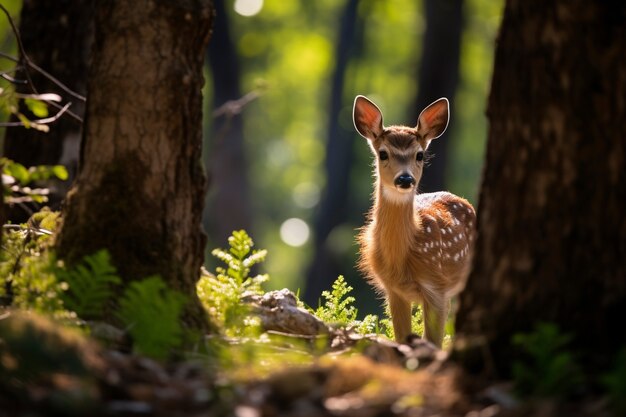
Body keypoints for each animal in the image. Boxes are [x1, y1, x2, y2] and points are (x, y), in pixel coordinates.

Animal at [352, 96, 472, 346]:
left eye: (420, 155)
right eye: (383, 154)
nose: (405, 179)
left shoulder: (436, 286)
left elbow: (433, 340)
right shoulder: (393, 290)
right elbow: (402, 338)